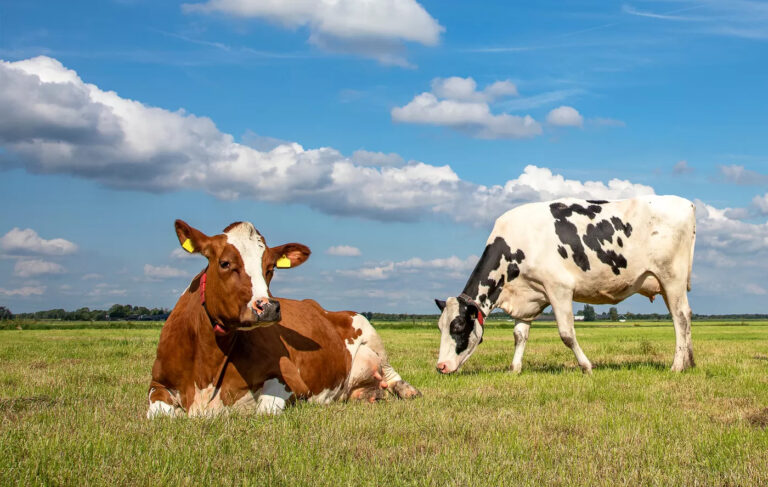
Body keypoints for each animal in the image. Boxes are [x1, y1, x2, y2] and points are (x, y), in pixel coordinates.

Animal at [147, 220, 420, 418]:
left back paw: (408, 390)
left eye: (270, 268)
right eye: (224, 263)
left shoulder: (291, 381)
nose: (268, 307)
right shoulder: (157, 384)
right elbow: (159, 414)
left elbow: (264, 411)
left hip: (368, 329)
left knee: (390, 374)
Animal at [435, 195, 696, 375]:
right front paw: (514, 368)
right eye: (440, 327)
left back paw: (676, 366)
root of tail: (685, 203)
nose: (441, 366)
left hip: (671, 277)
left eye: (458, 326)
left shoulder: (559, 288)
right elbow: (519, 334)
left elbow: (566, 334)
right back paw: (689, 362)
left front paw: (586, 366)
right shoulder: (528, 297)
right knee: (686, 315)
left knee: (679, 318)